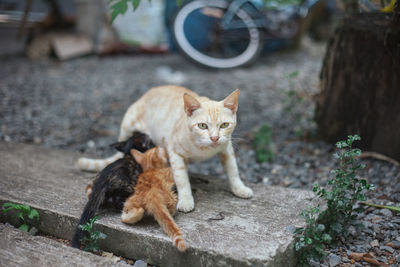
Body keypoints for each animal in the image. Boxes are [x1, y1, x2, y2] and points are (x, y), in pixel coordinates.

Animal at [78, 86, 253, 214]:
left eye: (224, 125)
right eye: (202, 125)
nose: (215, 138)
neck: (203, 149)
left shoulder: (226, 148)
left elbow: (233, 169)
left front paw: (239, 188)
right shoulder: (174, 152)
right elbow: (182, 179)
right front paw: (186, 199)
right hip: (129, 126)